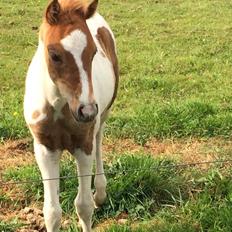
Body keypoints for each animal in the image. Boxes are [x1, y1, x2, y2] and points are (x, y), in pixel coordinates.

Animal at [24, 0, 118, 231]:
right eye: (54, 55)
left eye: (93, 53)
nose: (86, 111)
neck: (59, 106)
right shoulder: (45, 149)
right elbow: (52, 212)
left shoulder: (83, 145)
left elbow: (84, 205)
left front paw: (93, 199)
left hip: (103, 115)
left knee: (99, 140)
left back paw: (100, 192)